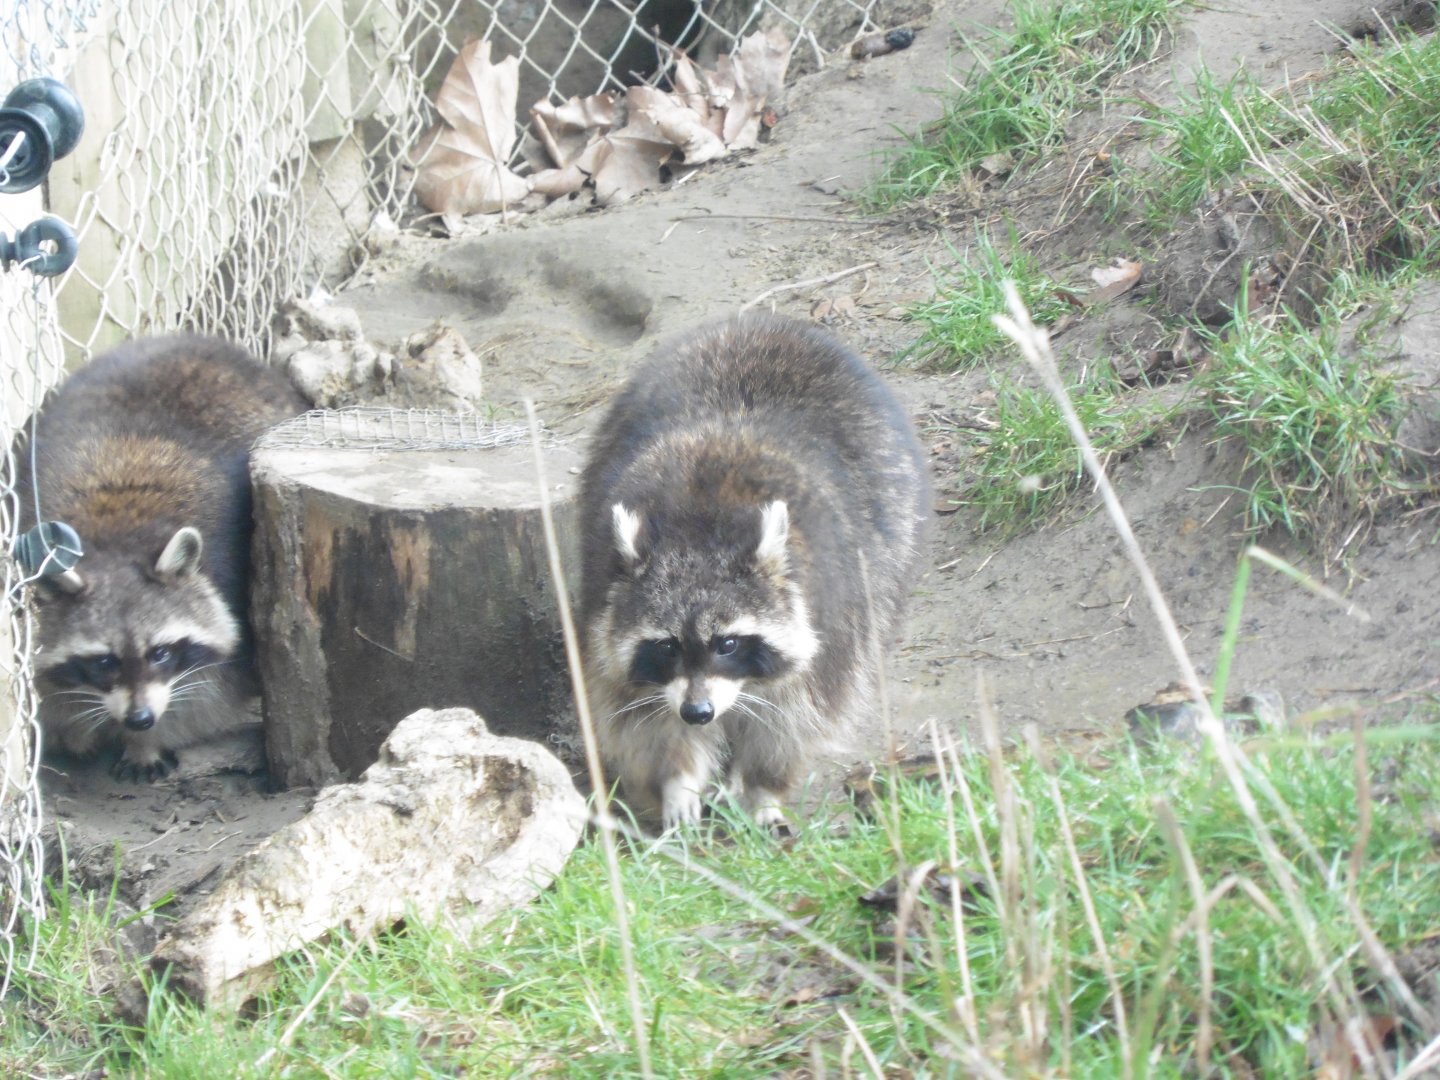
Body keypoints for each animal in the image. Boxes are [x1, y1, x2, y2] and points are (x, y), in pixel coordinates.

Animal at [15, 334, 307, 780]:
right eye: (104, 661)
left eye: (161, 653)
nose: (139, 719)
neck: (115, 539)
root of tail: (193, 340)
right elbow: (46, 682)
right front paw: (76, 726)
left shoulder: (232, 585)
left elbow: (207, 695)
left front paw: (146, 742)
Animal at [579, 313, 929, 828]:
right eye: (666, 646)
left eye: (728, 644)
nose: (698, 712)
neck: (700, 527)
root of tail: (769, 322)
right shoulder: (602, 604)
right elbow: (643, 717)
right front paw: (677, 780)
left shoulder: (833, 617)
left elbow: (794, 718)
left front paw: (764, 789)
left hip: (892, 531)